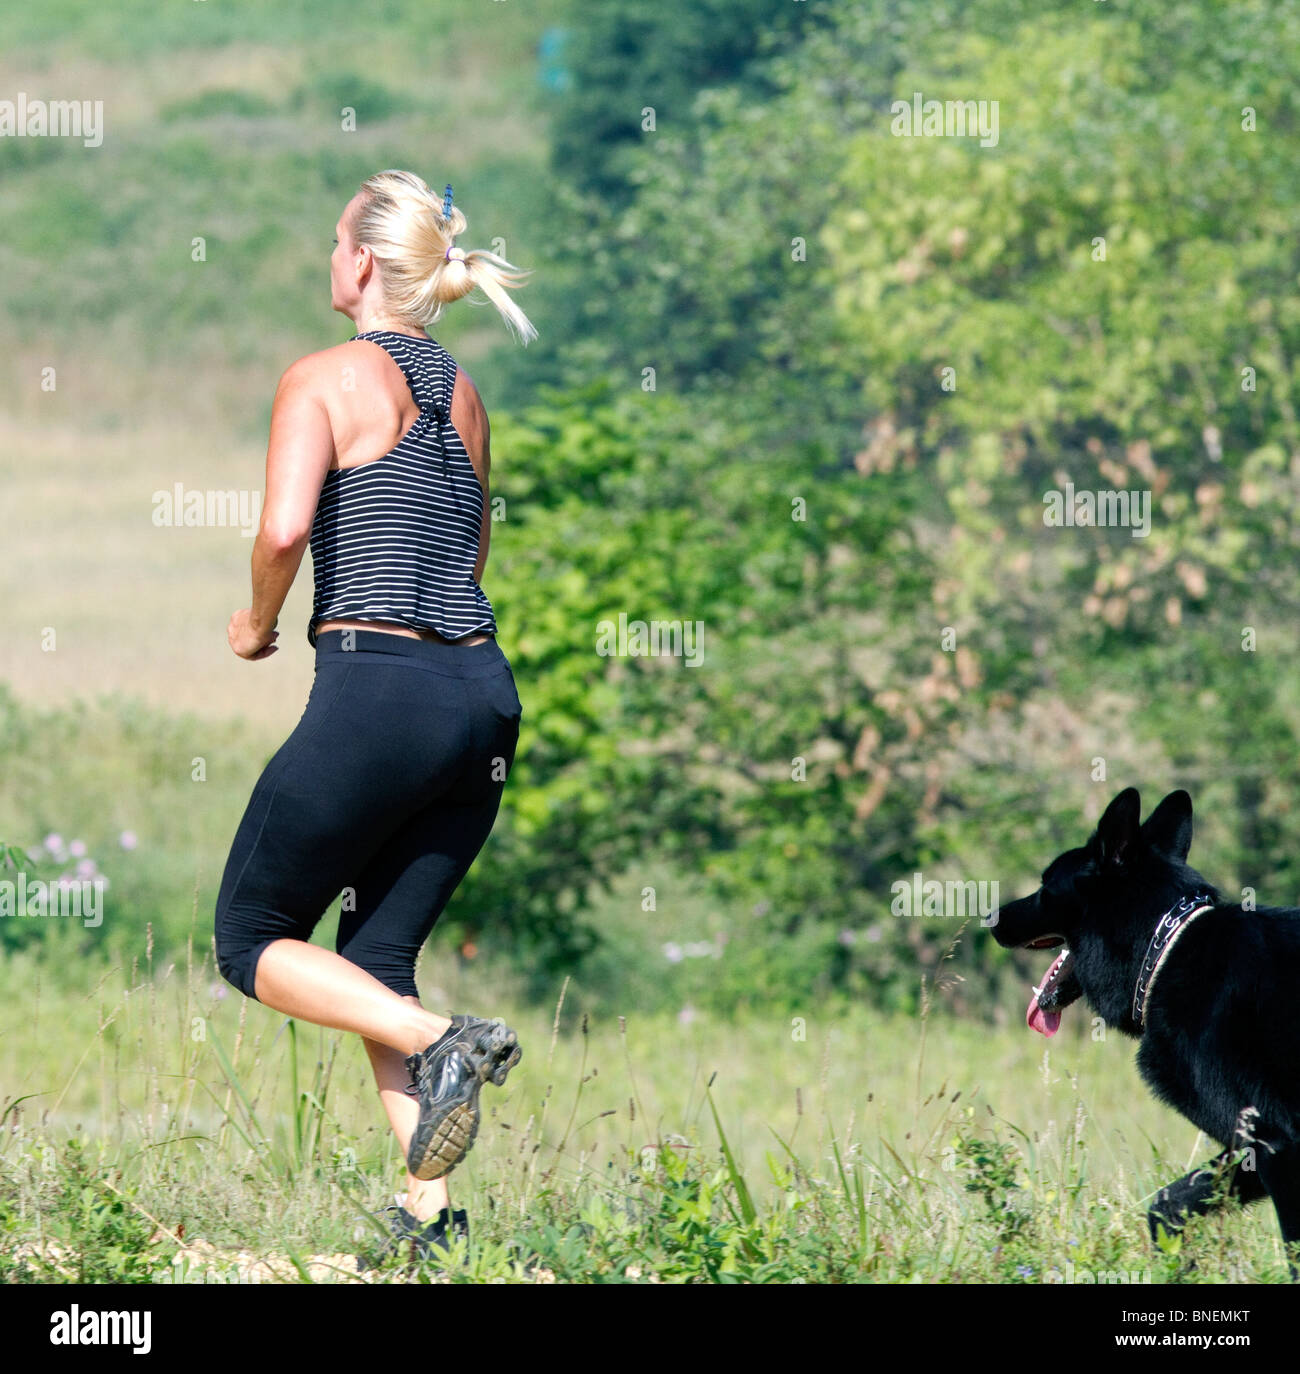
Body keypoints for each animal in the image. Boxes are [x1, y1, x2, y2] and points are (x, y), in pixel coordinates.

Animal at [994, 791, 1297, 1269]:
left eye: (1045, 886)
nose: (990, 917)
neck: (1166, 947)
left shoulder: (1275, 1143)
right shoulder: (1252, 1150)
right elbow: (1168, 1203)